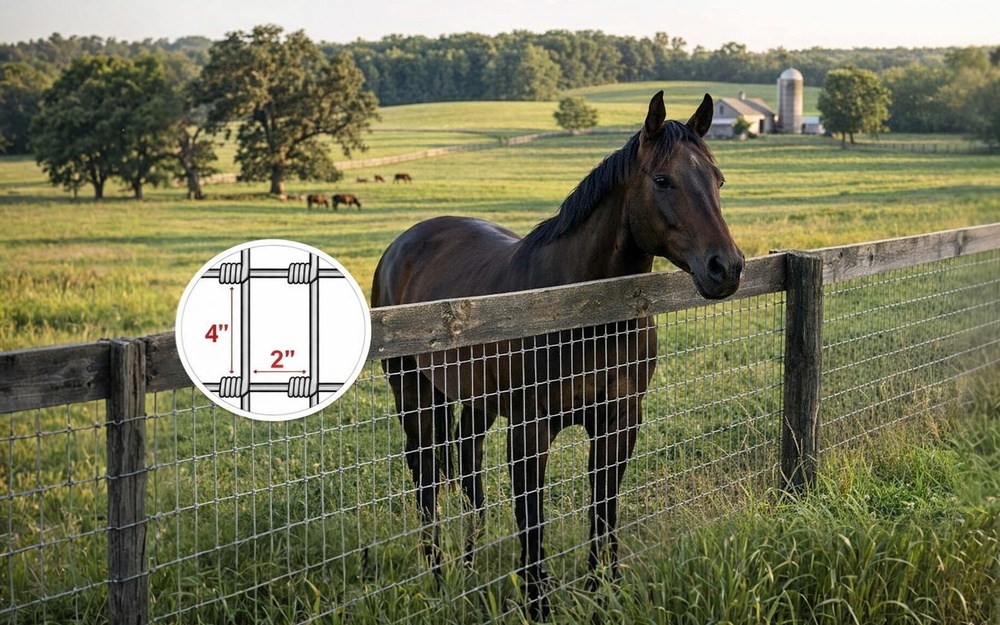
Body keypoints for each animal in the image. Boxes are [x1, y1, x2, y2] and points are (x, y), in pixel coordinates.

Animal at [371, 91, 743, 621]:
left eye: (718, 179)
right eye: (662, 179)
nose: (726, 268)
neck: (581, 309)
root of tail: (400, 245)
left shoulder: (619, 420)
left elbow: (603, 509)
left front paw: (604, 593)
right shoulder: (531, 429)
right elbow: (532, 519)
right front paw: (538, 602)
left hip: (475, 401)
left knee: (467, 467)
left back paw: (469, 566)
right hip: (414, 393)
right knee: (426, 476)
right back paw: (438, 576)